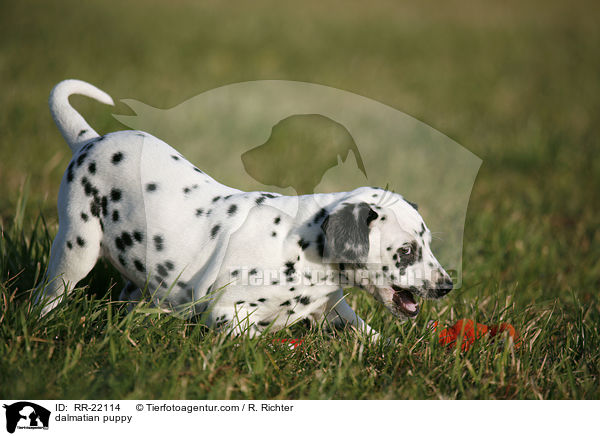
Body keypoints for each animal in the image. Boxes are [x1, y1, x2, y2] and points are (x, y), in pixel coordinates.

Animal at [36, 81, 450, 340]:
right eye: (407, 251)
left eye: (427, 243)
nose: (447, 286)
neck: (303, 251)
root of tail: (90, 141)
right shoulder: (226, 312)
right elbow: (253, 337)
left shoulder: (333, 310)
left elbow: (370, 335)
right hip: (77, 246)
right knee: (51, 292)